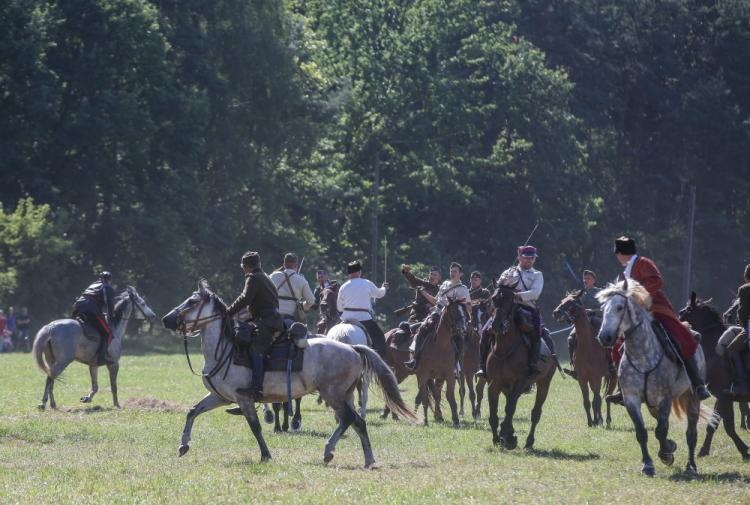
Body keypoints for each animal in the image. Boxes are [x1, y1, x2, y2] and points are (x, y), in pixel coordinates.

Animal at [162, 280, 420, 464]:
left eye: (192, 302)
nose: (166, 319)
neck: (226, 349)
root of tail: (352, 347)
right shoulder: (220, 397)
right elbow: (192, 412)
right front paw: (183, 445)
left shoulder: (243, 398)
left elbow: (255, 426)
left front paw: (265, 455)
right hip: (343, 395)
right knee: (356, 422)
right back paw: (364, 458)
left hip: (333, 394)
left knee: (351, 419)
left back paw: (333, 452)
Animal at [484, 284, 556, 448]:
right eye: (494, 298)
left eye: (511, 300)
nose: (496, 324)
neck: (504, 349)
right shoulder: (494, 385)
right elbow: (494, 412)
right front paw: (498, 438)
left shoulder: (519, 383)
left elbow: (510, 408)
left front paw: (507, 437)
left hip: (544, 383)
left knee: (535, 413)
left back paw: (528, 442)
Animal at [552, 290, 616, 428]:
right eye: (562, 300)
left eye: (571, 303)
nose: (556, 312)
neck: (588, 346)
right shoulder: (583, 378)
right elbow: (587, 401)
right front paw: (591, 422)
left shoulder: (597, 376)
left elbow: (596, 400)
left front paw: (596, 422)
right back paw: (600, 419)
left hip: (612, 377)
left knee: (607, 396)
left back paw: (607, 420)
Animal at [600, 280, 716, 476]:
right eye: (603, 309)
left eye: (619, 307)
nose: (604, 337)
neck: (642, 355)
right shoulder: (632, 399)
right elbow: (642, 432)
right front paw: (648, 464)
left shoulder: (664, 399)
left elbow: (661, 431)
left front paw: (666, 453)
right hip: (653, 404)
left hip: (691, 398)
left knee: (691, 434)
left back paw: (691, 466)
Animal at [680, 292, 750, 460]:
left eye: (685, 311)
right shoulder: (722, 397)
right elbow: (716, 424)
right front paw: (704, 450)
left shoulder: (724, 396)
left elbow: (726, 426)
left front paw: (744, 450)